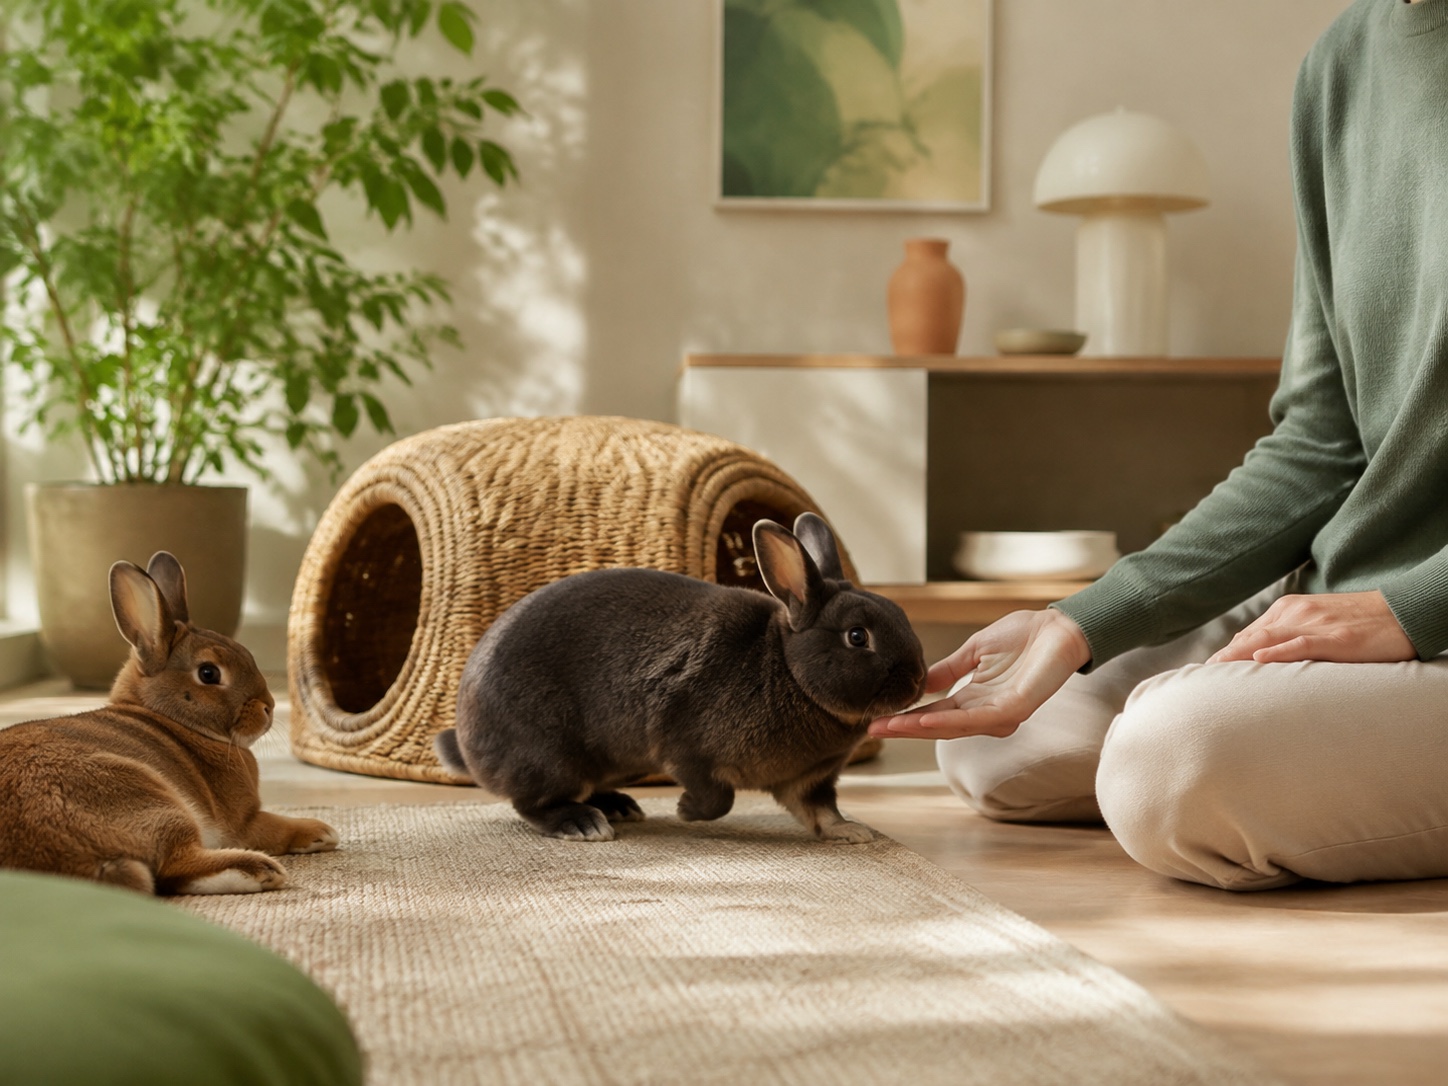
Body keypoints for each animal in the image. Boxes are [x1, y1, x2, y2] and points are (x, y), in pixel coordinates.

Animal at [0, 552, 338, 895]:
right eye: (208, 673)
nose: (268, 706)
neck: (172, 720)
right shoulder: (241, 821)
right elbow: (272, 826)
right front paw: (321, 831)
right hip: (149, 797)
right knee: (176, 866)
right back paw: (259, 869)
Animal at [434, 512, 927, 843]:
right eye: (857, 636)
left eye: (903, 616)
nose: (918, 681)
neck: (788, 668)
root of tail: (467, 741)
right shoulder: (684, 745)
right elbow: (717, 798)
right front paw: (686, 811)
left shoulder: (809, 779)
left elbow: (821, 812)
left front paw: (853, 832)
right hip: (547, 755)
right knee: (531, 802)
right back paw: (582, 823)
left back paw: (617, 806)